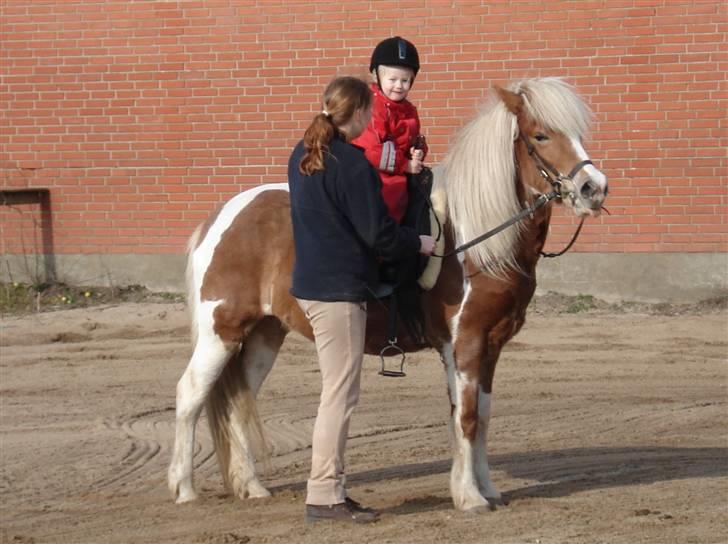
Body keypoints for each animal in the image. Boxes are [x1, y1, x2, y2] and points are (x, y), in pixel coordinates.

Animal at [168, 78, 604, 512]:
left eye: (578, 135)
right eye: (541, 135)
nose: (594, 189)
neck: (476, 240)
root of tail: (222, 215)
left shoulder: (491, 346)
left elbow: (482, 416)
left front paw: (487, 488)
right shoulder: (463, 344)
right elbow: (465, 418)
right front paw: (469, 496)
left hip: (263, 334)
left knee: (240, 399)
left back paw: (252, 486)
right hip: (221, 332)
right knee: (190, 394)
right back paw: (184, 488)